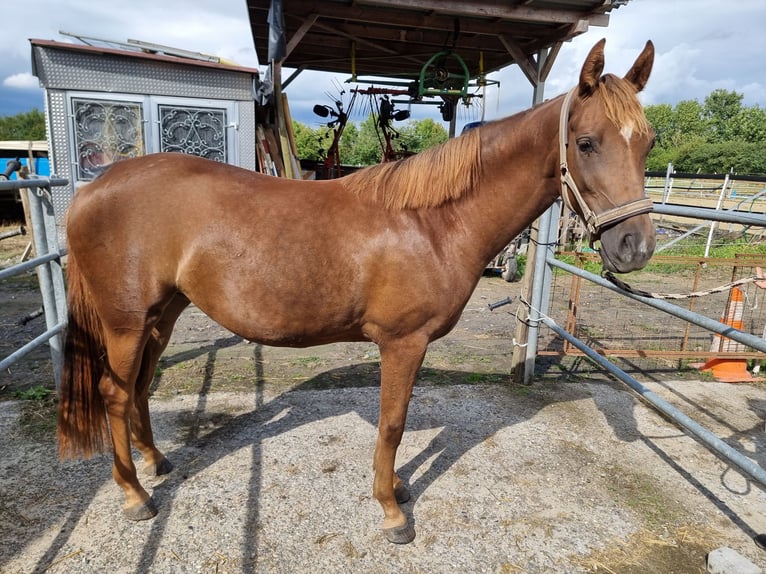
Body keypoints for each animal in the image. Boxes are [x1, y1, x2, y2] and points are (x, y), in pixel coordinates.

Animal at [58, 38, 656, 545]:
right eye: (586, 143)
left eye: (647, 143)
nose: (636, 247)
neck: (432, 222)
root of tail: (94, 188)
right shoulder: (402, 343)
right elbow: (392, 426)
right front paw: (391, 511)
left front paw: (397, 490)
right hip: (126, 321)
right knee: (115, 393)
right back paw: (135, 495)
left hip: (162, 314)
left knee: (139, 387)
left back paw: (155, 462)